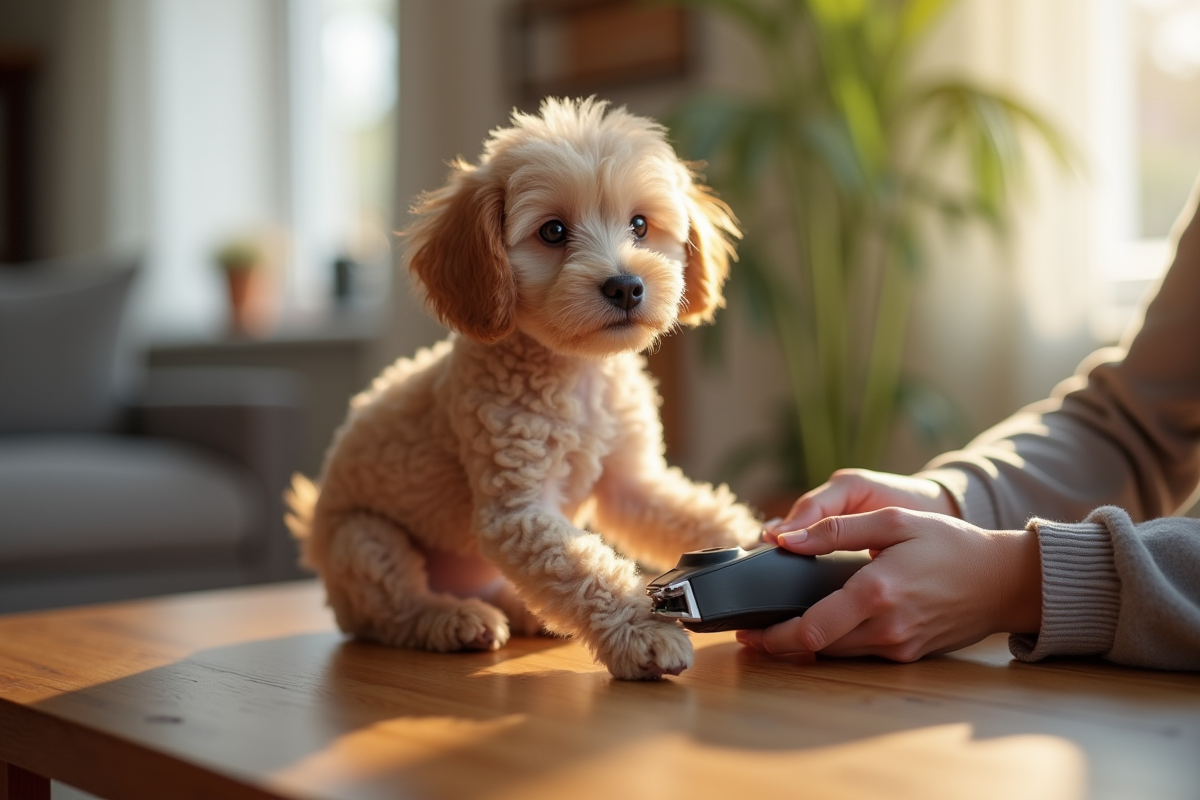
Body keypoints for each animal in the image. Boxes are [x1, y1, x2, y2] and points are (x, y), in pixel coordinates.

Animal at [285, 95, 758, 681]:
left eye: (640, 224)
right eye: (552, 232)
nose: (626, 286)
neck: (578, 377)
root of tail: (312, 535)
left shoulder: (631, 483)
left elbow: (691, 513)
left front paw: (768, 538)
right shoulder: (518, 511)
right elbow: (585, 568)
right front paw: (642, 632)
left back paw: (524, 612)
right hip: (365, 541)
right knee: (390, 612)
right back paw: (453, 619)